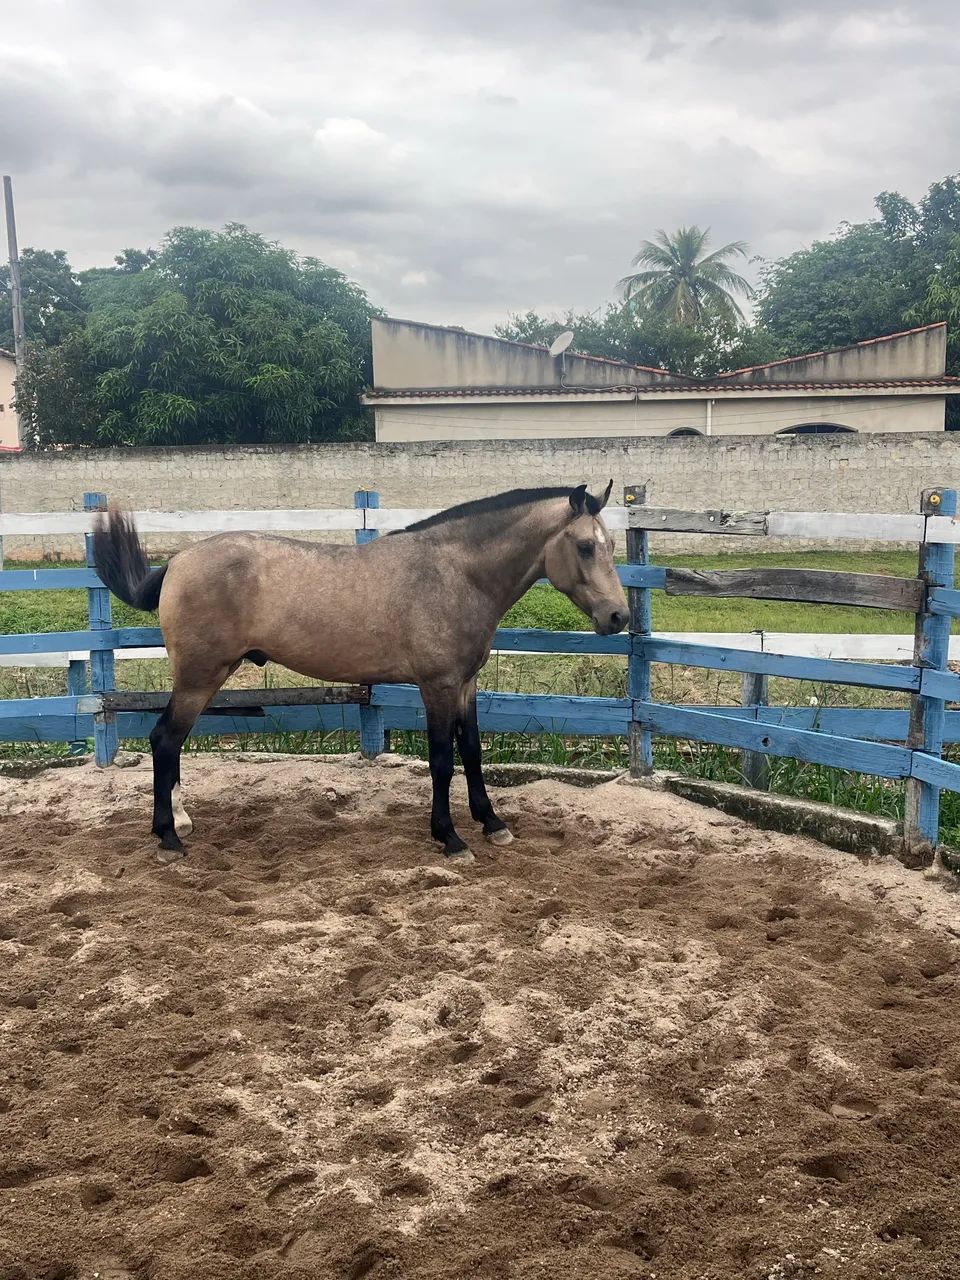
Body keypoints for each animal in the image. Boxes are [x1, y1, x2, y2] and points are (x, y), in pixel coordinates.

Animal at [92, 483, 628, 860]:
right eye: (585, 546)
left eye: (610, 545)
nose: (618, 617)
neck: (455, 574)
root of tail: (177, 561)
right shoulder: (436, 686)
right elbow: (441, 760)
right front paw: (450, 837)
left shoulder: (465, 684)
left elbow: (472, 752)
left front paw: (492, 824)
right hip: (201, 677)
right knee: (165, 740)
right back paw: (169, 837)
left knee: (172, 742)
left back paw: (181, 823)